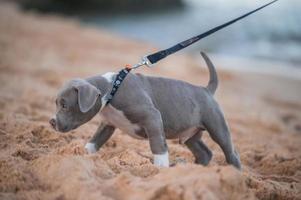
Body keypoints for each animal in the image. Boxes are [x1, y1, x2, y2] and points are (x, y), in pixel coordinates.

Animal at [50, 52, 240, 169]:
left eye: (64, 105)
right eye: (57, 103)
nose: (51, 121)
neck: (112, 89)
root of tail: (206, 90)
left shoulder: (152, 117)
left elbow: (157, 144)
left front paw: (161, 166)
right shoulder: (107, 124)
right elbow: (94, 141)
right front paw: (83, 153)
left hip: (217, 127)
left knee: (230, 152)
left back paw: (235, 172)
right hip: (191, 136)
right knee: (204, 152)